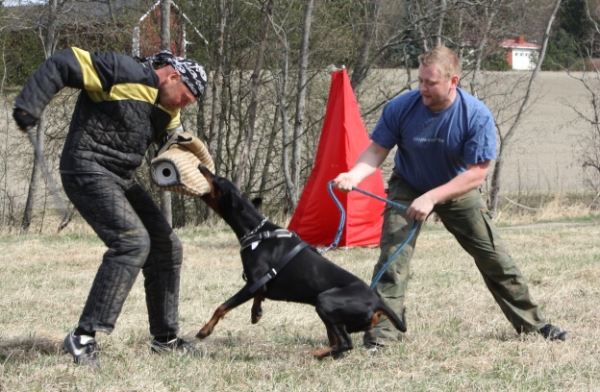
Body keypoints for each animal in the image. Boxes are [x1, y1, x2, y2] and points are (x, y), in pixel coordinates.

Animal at [195, 165, 406, 358]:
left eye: (218, 180)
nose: (201, 166)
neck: (256, 231)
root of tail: (378, 301)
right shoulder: (259, 283)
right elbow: (258, 295)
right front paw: (256, 313)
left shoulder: (252, 283)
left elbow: (222, 306)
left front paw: (204, 331)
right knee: (338, 342)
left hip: (324, 301)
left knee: (345, 343)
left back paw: (314, 354)